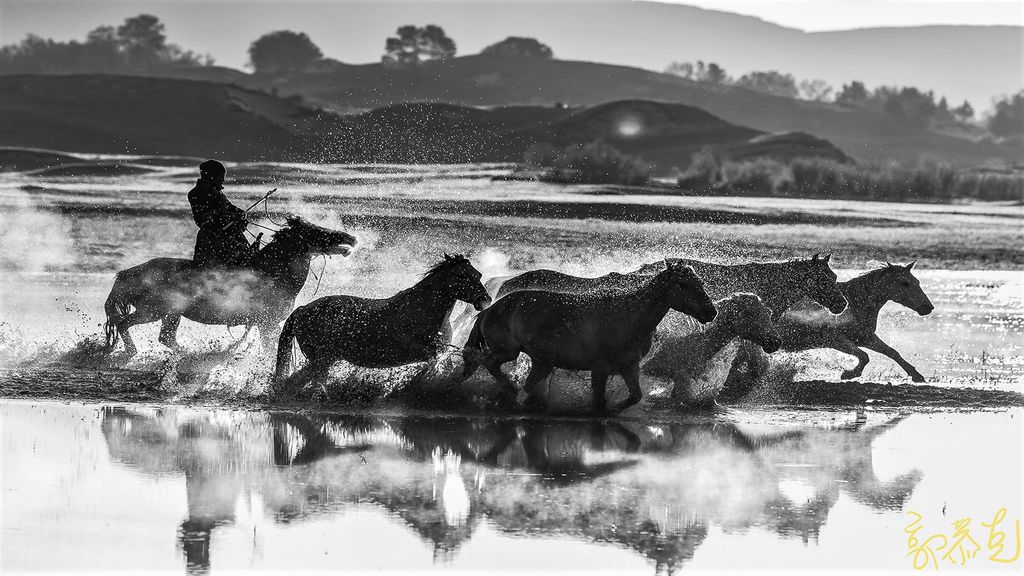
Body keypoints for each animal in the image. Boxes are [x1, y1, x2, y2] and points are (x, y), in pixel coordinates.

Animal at [103, 214, 358, 354]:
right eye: (314, 231)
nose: (351, 238)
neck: (272, 273)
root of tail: (129, 273)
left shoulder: (266, 323)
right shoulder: (266, 323)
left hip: (171, 313)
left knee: (165, 337)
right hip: (153, 310)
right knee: (125, 324)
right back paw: (134, 351)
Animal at [276, 251, 491, 385]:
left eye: (478, 275)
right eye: (460, 275)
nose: (485, 300)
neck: (423, 311)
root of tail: (302, 310)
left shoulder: (440, 349)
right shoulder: (417, 350)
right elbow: (435, 358)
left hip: (325, 361)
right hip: (321, 360)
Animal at [466, 260, 716, 412]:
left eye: (700, 282)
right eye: (683, 284)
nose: (711, 312)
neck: (627, 315)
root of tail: (490, 309)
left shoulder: (629, 366)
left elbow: (635, 395)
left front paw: (614, 410)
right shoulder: (600, 367)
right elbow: (598, 401)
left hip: (541, 361)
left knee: (527, 383)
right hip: (508, 351)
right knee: (490, 363)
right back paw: (509, 392)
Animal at [774, 261, 937, 381]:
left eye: (917, 281)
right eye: (905, 283)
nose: (928, 307)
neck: (854, 304)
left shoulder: (864, 337)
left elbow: (892, 352)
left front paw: (916, 375)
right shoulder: (833, 339)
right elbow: (864, 356)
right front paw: (849, 374)